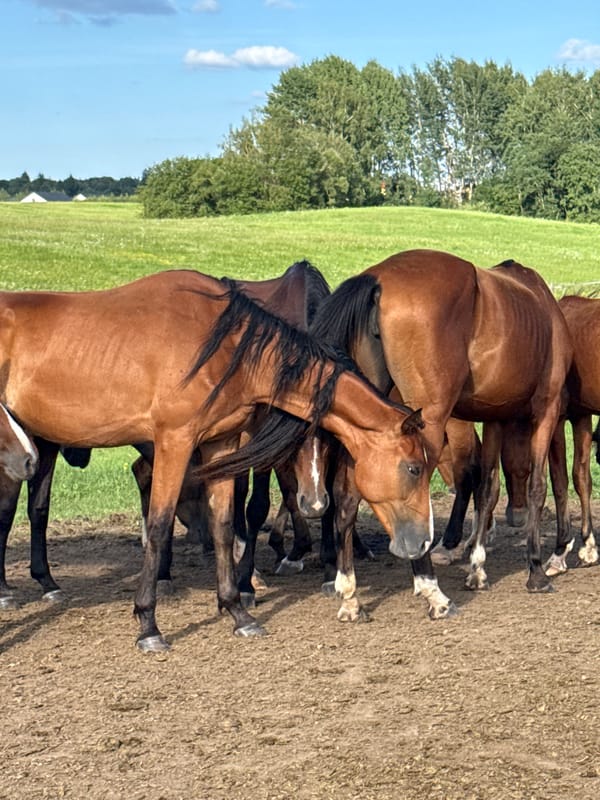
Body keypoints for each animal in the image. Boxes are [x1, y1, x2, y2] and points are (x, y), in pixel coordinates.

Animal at [0, 269, 432, 652]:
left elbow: (225, 524)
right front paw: (148, 623)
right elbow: (159, 526)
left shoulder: (220, 444)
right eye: (413, 468)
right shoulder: (174, 442)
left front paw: (237, 610)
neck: (222, 345)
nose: (423, 539)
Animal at [307, 250, 572, 615]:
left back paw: (349, 594)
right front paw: (535, 570)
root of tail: (378, 279)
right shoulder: (547, 408)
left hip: (365, 424)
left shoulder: (494, 418)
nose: (515, 518)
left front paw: (477, 568)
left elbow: (487, 488)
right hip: (427, 425)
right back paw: (432, 589)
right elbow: (537, 486)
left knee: (346, 499)